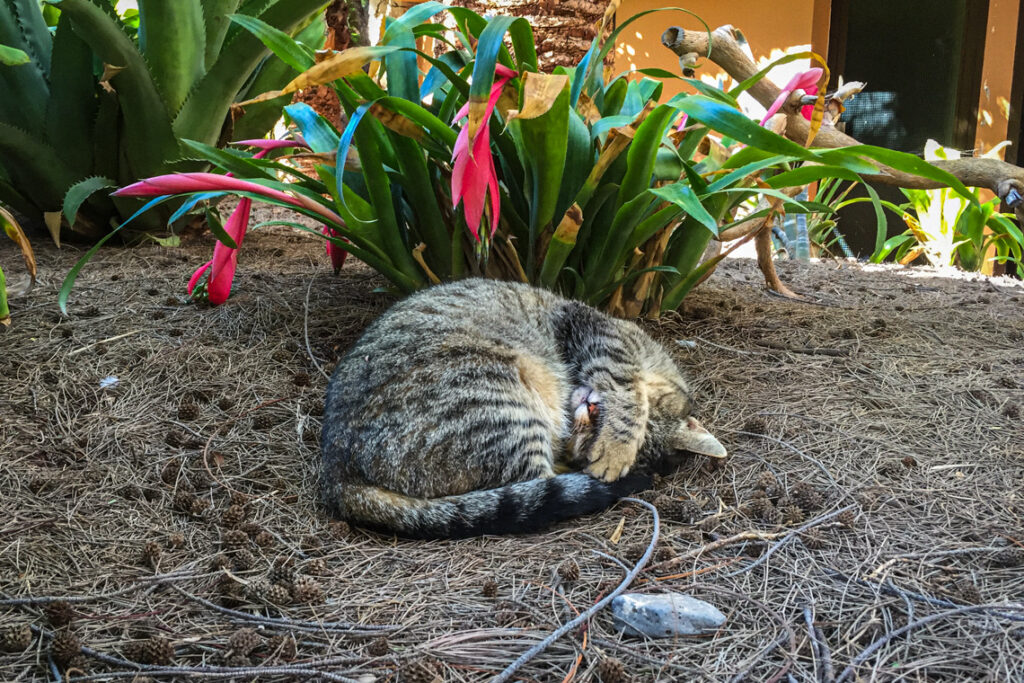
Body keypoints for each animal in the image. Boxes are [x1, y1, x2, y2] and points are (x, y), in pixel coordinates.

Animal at [321, 278, 729, 540]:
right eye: (596, 421)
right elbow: (626, 387)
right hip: (499, 399)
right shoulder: (595, 331)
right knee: (536, 484)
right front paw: (617, 450)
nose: (584, 414)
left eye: (585, 444)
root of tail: (337, 470)